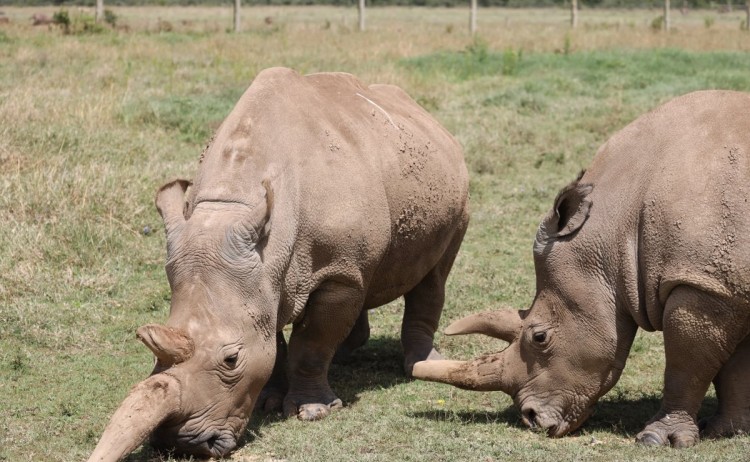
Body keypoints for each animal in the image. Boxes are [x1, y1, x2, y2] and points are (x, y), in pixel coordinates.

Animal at [88, 67, 469, 461]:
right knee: (369, 277)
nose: (181, 444)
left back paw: (422, 365)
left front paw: (313, 412)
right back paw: (347, 353)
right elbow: (272, 340)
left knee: (434, 275)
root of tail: (424, 114)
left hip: (456, 197)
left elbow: (312, 342)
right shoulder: (265, 278)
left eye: (231, 360)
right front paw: (268, 401)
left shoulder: (335, 274)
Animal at [413, 90, 750, 447]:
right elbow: (737, 367)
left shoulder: (702, 284)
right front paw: (727, 430)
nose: (532, 419)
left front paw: (657, 439)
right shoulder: (729, 285)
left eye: (540, 337)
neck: (617, 223)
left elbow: (685, 366)